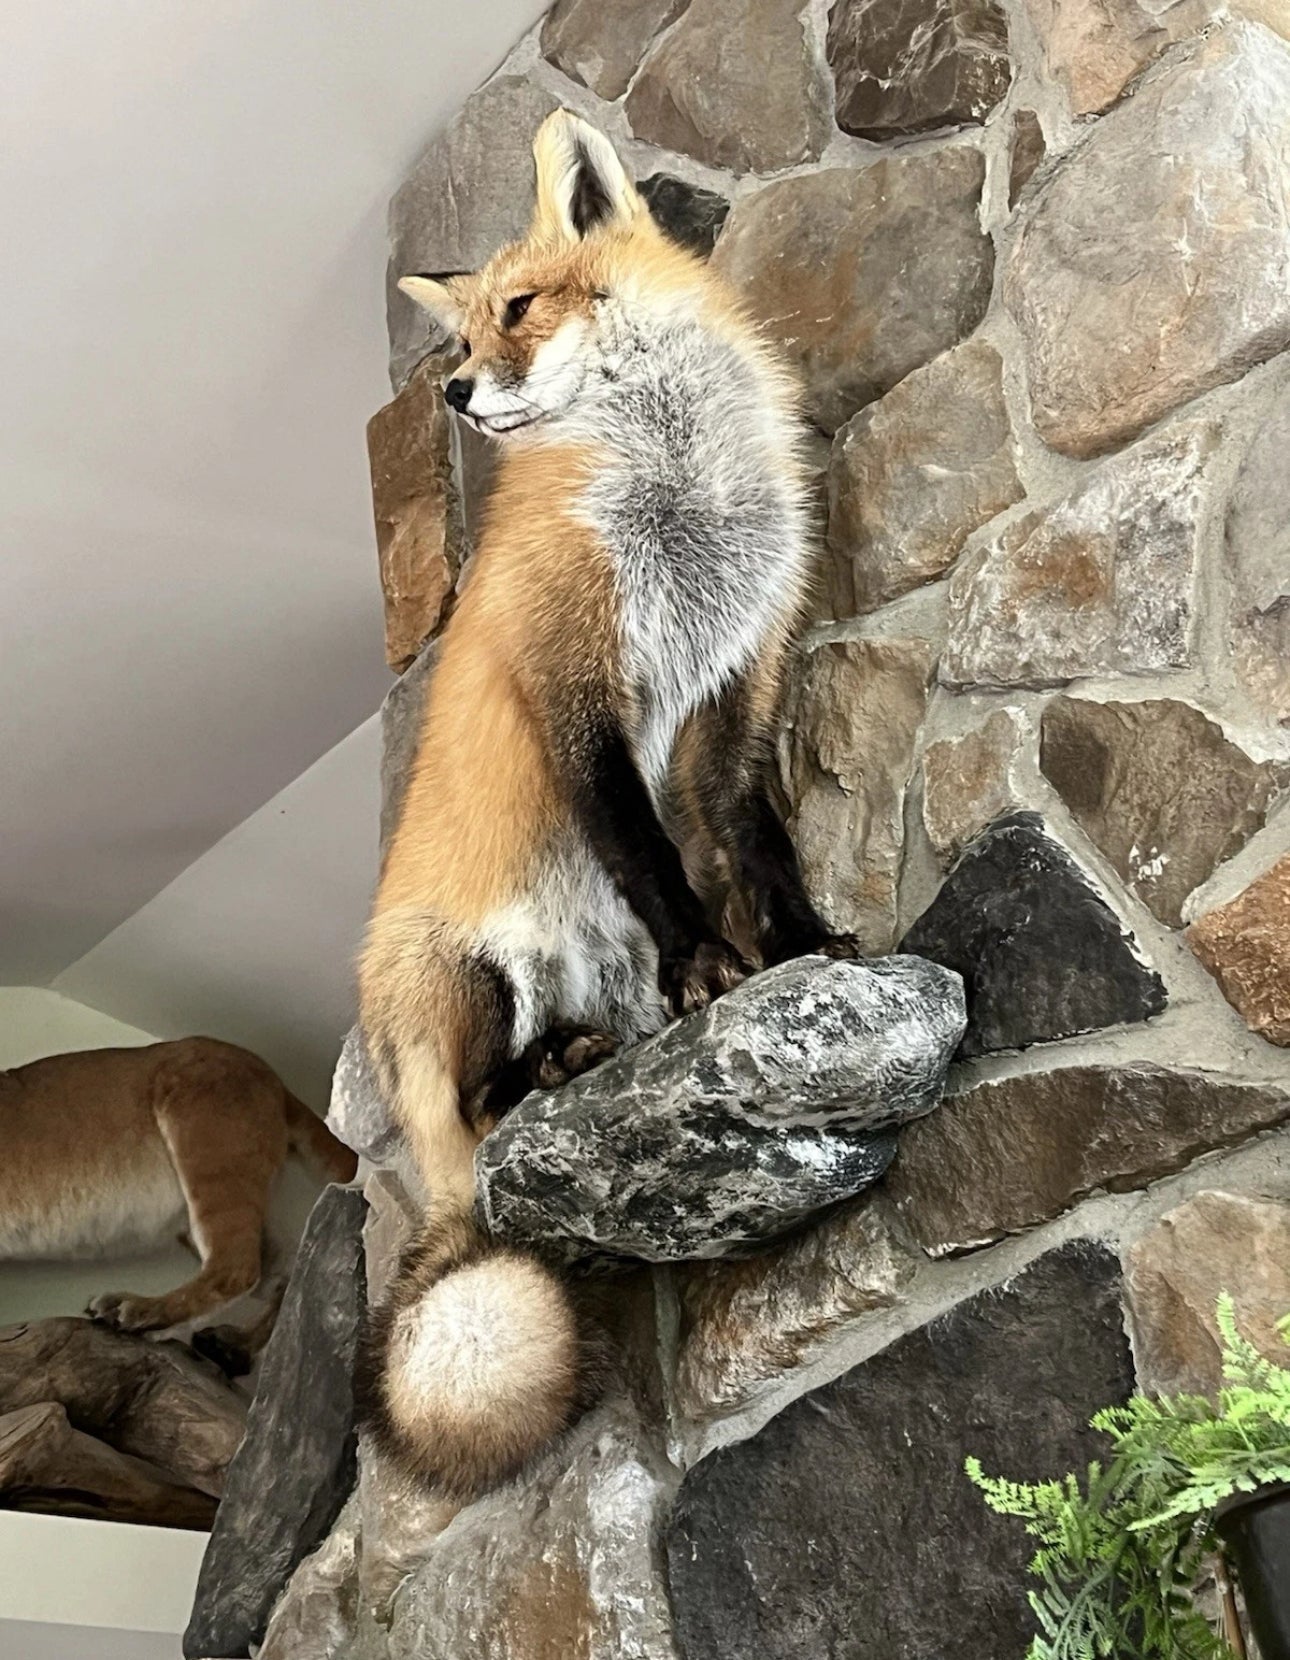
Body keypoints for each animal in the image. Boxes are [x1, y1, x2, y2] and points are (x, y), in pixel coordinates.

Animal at [358, 109, 858, 1501]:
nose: (453, 396)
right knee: (485, 1109)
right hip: (464, 980)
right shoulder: (578, 685)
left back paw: (587, 1051)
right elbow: (648, 852)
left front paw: (797, 949)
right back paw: (550, 1073)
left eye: (517, 311)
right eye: (459, 344)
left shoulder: (738, 673)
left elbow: (748, 839)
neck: (679, 490)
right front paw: (708, 961)